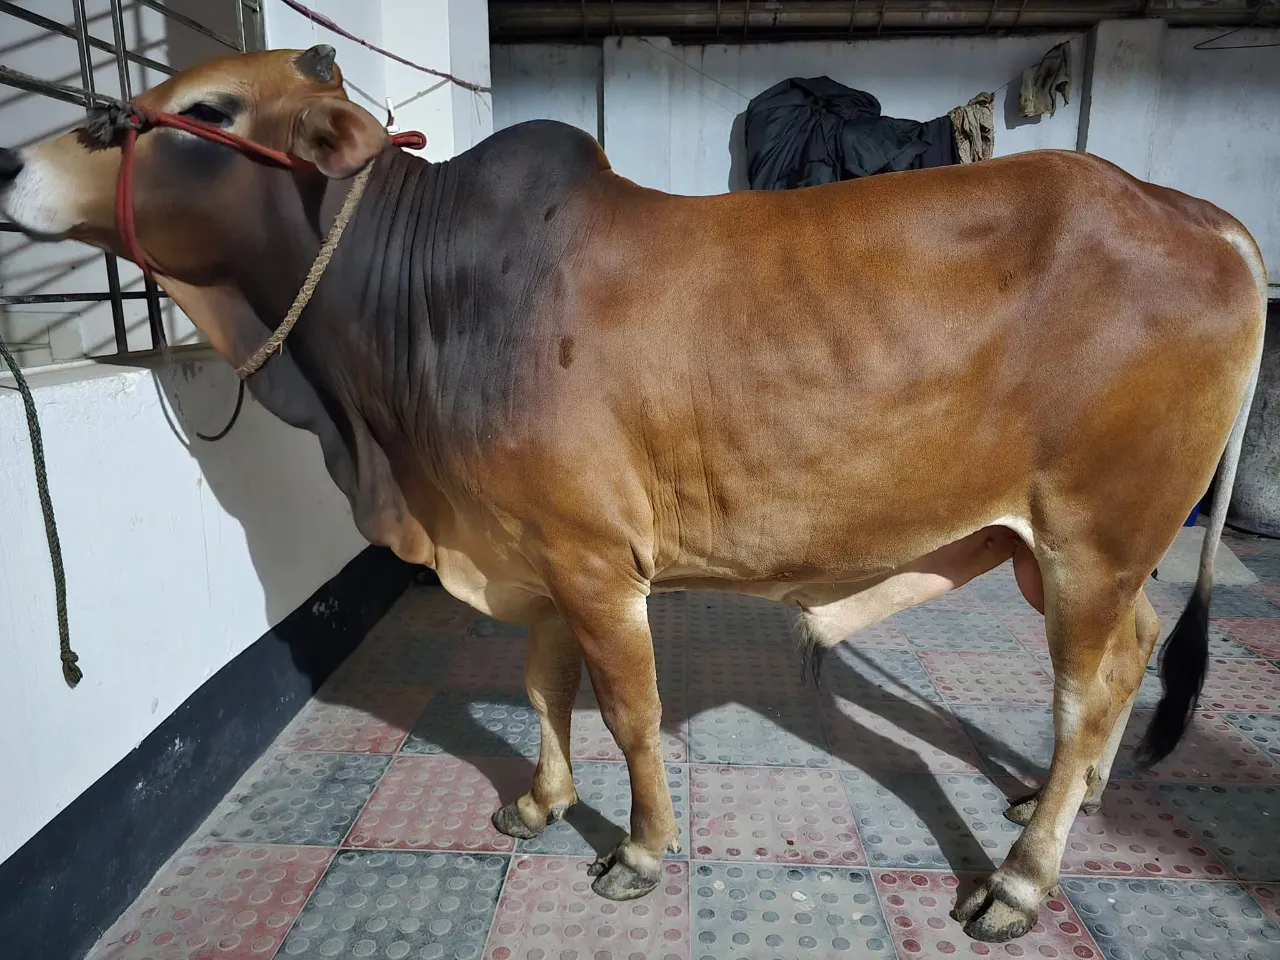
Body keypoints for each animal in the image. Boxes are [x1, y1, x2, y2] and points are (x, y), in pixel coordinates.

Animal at [0, 46, 1266, 943]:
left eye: (211, 113)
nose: (13, 163)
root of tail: (1195, 214)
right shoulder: (529, 553)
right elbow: (541, 685)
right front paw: (538, 803)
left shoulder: (594, 561)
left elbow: (629, 712)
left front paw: (642, 851)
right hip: (1062, 551)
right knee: (1130, 656)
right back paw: (1066, 800)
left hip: (1088, 540)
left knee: (1082, 695)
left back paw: (1019, 879)